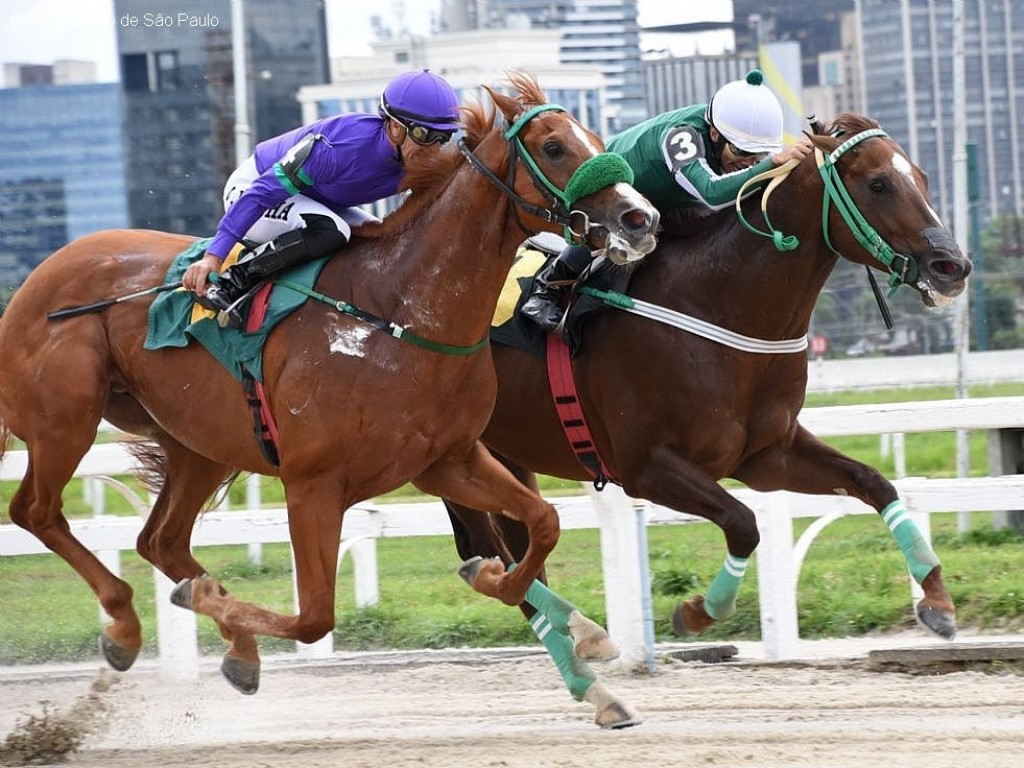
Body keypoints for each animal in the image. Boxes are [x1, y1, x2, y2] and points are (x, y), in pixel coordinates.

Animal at [0, 75, 655, 696]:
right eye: (554, 146)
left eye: (596, 137)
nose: (640, 217)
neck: (399, 313)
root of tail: (38, 279)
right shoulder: (312, 483)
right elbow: (314, 618)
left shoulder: (447, 459)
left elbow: (542, 522)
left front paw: (521, 593)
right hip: (65, 419)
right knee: (36, 512)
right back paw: (127, 623)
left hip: (197, 443)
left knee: (159, 540)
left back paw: (229, 639)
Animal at [446, 117, 966, 720]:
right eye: (879, 183)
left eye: (922, 177)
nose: (953, 267)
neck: (717, 301)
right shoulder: (645, 467)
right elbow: (743, 523)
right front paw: (696, 612)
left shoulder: (767, 455)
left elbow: (874, 482)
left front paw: (937, 602)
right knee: (492, 553)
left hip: (502, 455)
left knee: (512, 549)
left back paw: (582, 656)